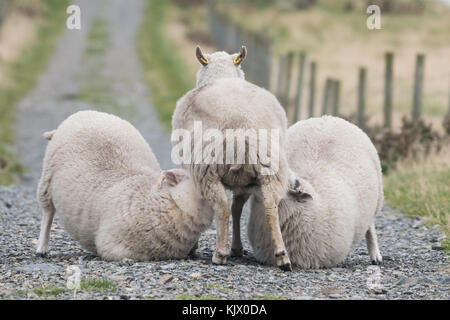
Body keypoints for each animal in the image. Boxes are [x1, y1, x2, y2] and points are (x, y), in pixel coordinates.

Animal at [171, 45, 292, 270]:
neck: (222, 76)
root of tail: (242, 129)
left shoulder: (191, 170)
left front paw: (195, 247)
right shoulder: (244, 184)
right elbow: (238, 210)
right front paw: (237, 247)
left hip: (207, 169)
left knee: (221, 207)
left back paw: (220, 253)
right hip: (270, 170)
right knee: (270, 206)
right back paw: (282, 256)